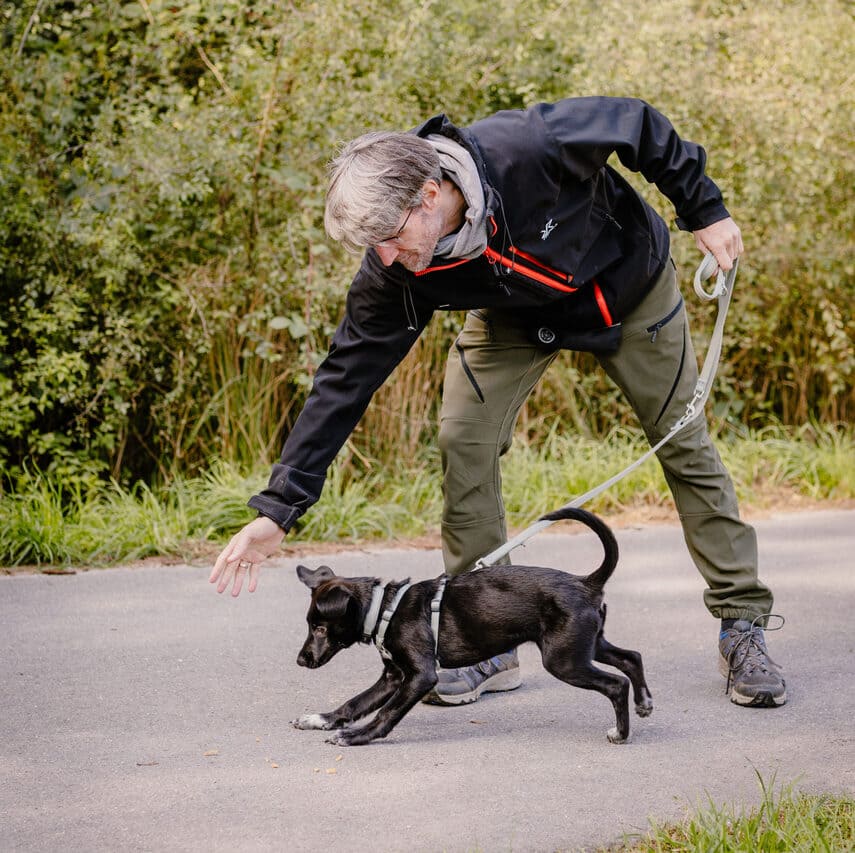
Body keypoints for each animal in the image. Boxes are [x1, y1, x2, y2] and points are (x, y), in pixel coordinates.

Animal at [290, 506, 652, 744]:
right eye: (309, 625)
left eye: (320, 628)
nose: (301, 660)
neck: (385, 607)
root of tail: (586, 582)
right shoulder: (394, 676)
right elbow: (356, 702)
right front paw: (322, 719)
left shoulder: (420, 676)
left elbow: (385, 713)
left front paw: (357, 736)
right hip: (586, 644)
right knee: (631, 657)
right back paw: (643, 703)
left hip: (563, 659)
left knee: (616, 684)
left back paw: (621, 732)